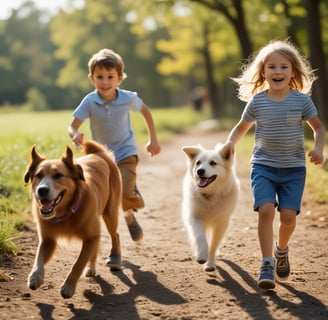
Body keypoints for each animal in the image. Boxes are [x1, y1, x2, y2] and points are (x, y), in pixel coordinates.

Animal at [24, 140, 121, 298]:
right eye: (38, 175)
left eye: (58, 175)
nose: (42, 190)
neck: (66, 212)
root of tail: (98, 154)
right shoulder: (48, 240)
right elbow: (38, 258)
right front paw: (35, 277)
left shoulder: (90, 237)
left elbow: (78, 263)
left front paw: (68, 286)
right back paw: (92, 268)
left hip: (110, 214)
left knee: (115, 235)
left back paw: (115, 259)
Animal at [182, 144, 238, 272]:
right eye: (198, 163)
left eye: (213, 163)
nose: (200, 171)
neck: (210, 195)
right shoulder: (195, 217)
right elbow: (201, 237)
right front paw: (202, 255)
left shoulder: (222, 223)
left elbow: (213, 244)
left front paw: (210, 263)